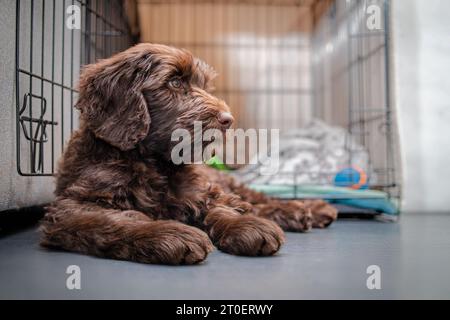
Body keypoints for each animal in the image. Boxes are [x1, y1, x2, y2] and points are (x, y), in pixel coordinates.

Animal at [41, 43, 338, 266]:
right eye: (174, 82)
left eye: (203, 85)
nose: (228, 120)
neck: (152, 162)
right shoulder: (72, 206)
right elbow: (115, 218)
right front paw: (168, 234)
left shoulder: (201, 190)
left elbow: (219, 207)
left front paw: (245, 225)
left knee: (258, 200)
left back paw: (308, 209)